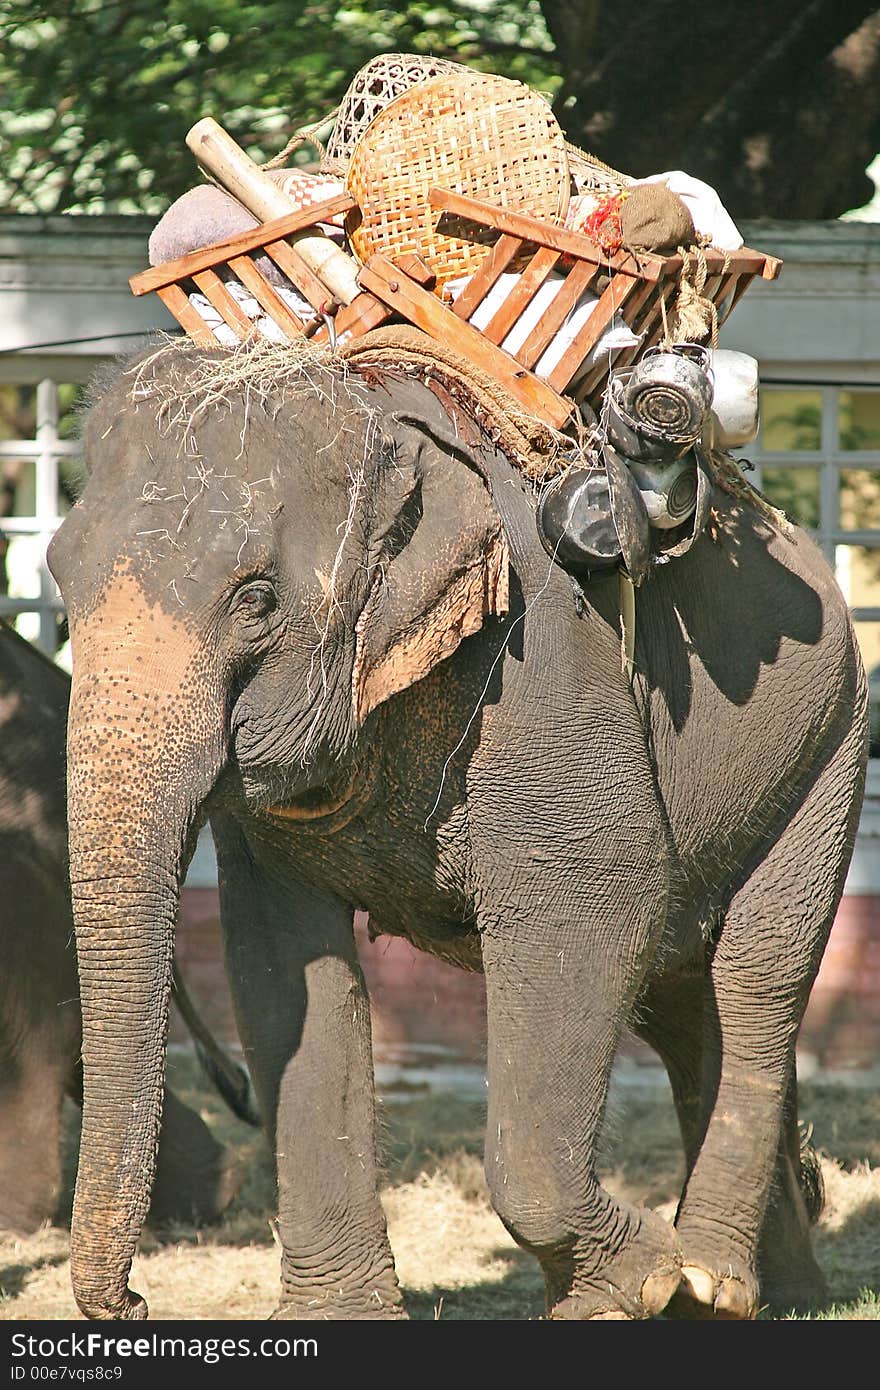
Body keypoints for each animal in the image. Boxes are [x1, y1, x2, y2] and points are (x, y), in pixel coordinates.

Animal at [47, 341, 867, 1317]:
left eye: (255, 599)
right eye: (58, 584)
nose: (136, 1301)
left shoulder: (544, 661)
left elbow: (596, 906)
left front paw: (638, 1282)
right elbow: (280, 962)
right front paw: (339, 1319)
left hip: (827, 745)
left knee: (756, 977)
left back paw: (709, 1277)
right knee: (681, 998)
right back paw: (774, 1293)